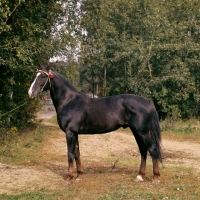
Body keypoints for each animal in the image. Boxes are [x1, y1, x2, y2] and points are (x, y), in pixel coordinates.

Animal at [28, 64, 162, 184]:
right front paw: (79, 175)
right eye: (36, 75)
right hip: (136, 131)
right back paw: (139, 176)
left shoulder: (69, 133)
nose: (30, 93)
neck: (69, 102)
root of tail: (148, 101)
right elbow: (77, 153)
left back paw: (155, 178)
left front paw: (69, 178)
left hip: (142, 132)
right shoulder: (75, 133)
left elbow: (70, 154)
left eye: (43, 76)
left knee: (152, 149)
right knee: (143, 150)